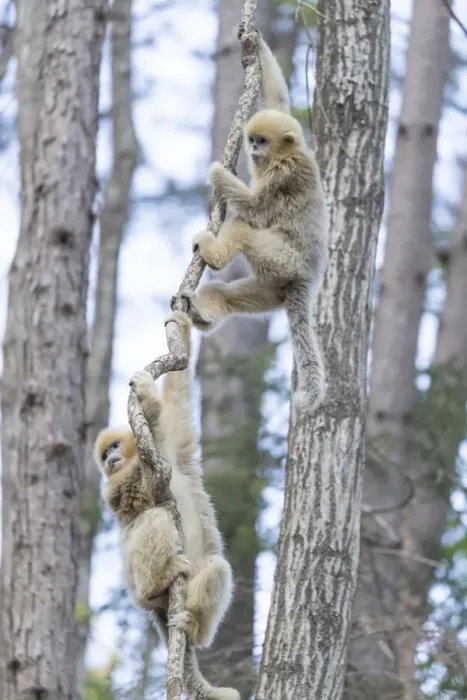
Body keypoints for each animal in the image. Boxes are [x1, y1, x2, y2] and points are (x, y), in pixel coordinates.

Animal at [94, 311, 239, 700]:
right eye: (105, 454)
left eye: (114, 447)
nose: (109, 459)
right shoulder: (117, 486)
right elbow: (140, 497)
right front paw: (150, 403)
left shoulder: (177, 443)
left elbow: (179, 391)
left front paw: (182, 322)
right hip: (134, 584)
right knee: (154, 517)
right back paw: (156, 583)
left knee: (217, 567)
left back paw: (192, 628)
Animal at [181, 35, 329, 415]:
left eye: (261, 141)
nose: (252, 149)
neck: (286, 155)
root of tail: (304, 281)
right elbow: (278, 98)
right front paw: (255, 43)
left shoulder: (283, 174)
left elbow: (257, 210)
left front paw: (218, 172)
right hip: (270, 289)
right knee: (226, 294)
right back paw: (202, 312)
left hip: (280, 259)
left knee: (245, 227)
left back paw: (214, 255)